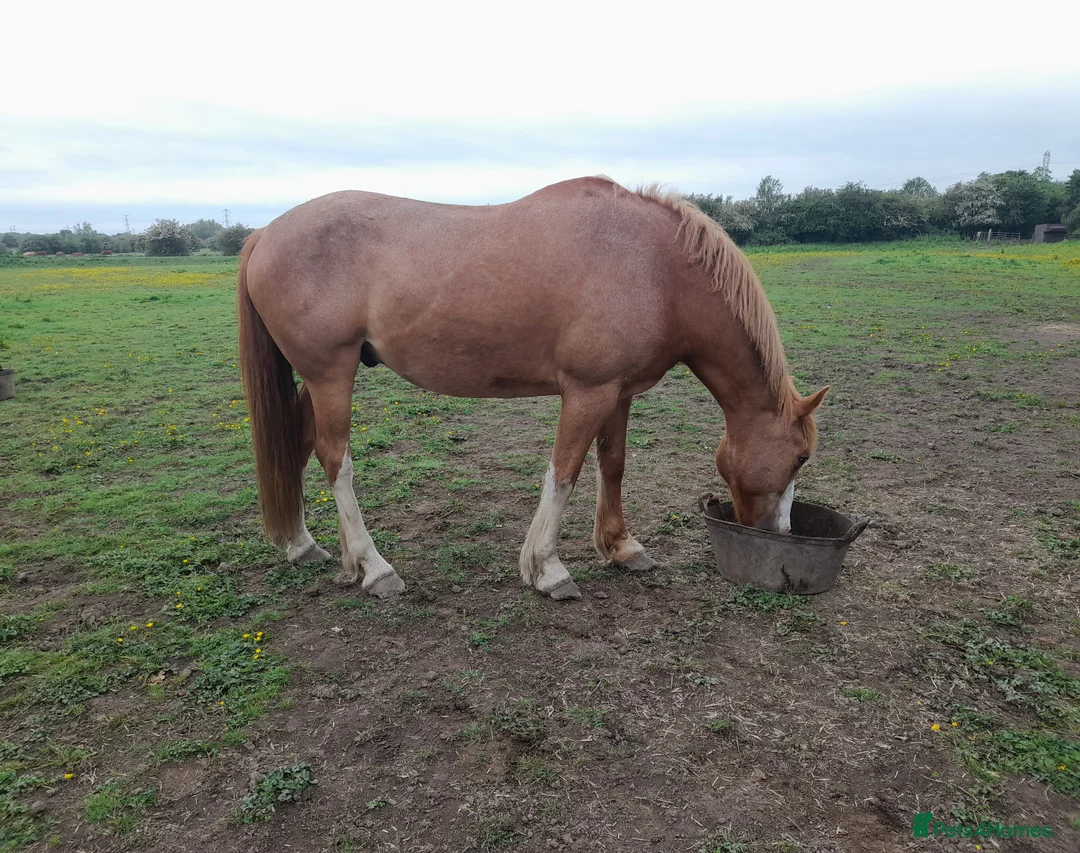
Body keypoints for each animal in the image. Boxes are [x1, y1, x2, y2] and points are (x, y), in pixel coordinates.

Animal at [237, 176, 828, 600]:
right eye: (800, 458)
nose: (778, 533)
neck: (656, 269)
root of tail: (266, 233)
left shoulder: (619, 392)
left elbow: (613, 465)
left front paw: (621, 547)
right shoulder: (587, 392)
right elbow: (563, 474)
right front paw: (547, 568)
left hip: (320, 379)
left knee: (303, 446)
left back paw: (311, 548)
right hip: (330, 374)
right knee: (336, 460)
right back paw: (375, 567)